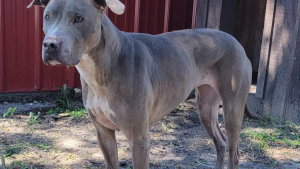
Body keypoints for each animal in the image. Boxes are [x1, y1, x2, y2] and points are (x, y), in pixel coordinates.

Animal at [28, 0, 253, 168]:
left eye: (79, 18)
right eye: (48, 17)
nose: (50, 44)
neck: (103, 66)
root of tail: (235, 40)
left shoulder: (139, 139)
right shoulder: (103, 133)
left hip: (232, 109)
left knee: (234, 152)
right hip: (206, 107)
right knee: (220, 143)